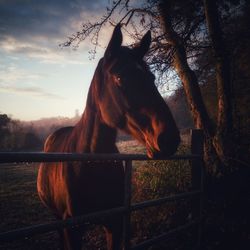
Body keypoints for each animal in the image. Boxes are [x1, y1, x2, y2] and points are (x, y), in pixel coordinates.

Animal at [37, 23, 181, 250]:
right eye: (120, 77)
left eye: (152, 78)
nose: (169, 138)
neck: (89, 162)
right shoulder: (72, 229)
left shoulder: (114, 222)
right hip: (57, 217)